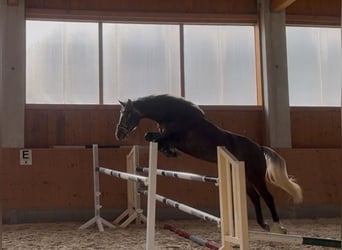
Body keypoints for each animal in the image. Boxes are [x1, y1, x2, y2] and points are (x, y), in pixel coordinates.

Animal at [115, 94, 302, 232]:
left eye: (127, 114)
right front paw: (170, 153)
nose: (118, 134)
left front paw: (171, 152)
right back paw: (263, 225)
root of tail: (259, 147)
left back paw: (279, 227)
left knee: (267, 196)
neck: (173, 115)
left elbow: (156, 138)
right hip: (244, 176)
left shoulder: (175, 138)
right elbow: (153, 138)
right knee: (255, 197)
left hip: (256, 175)